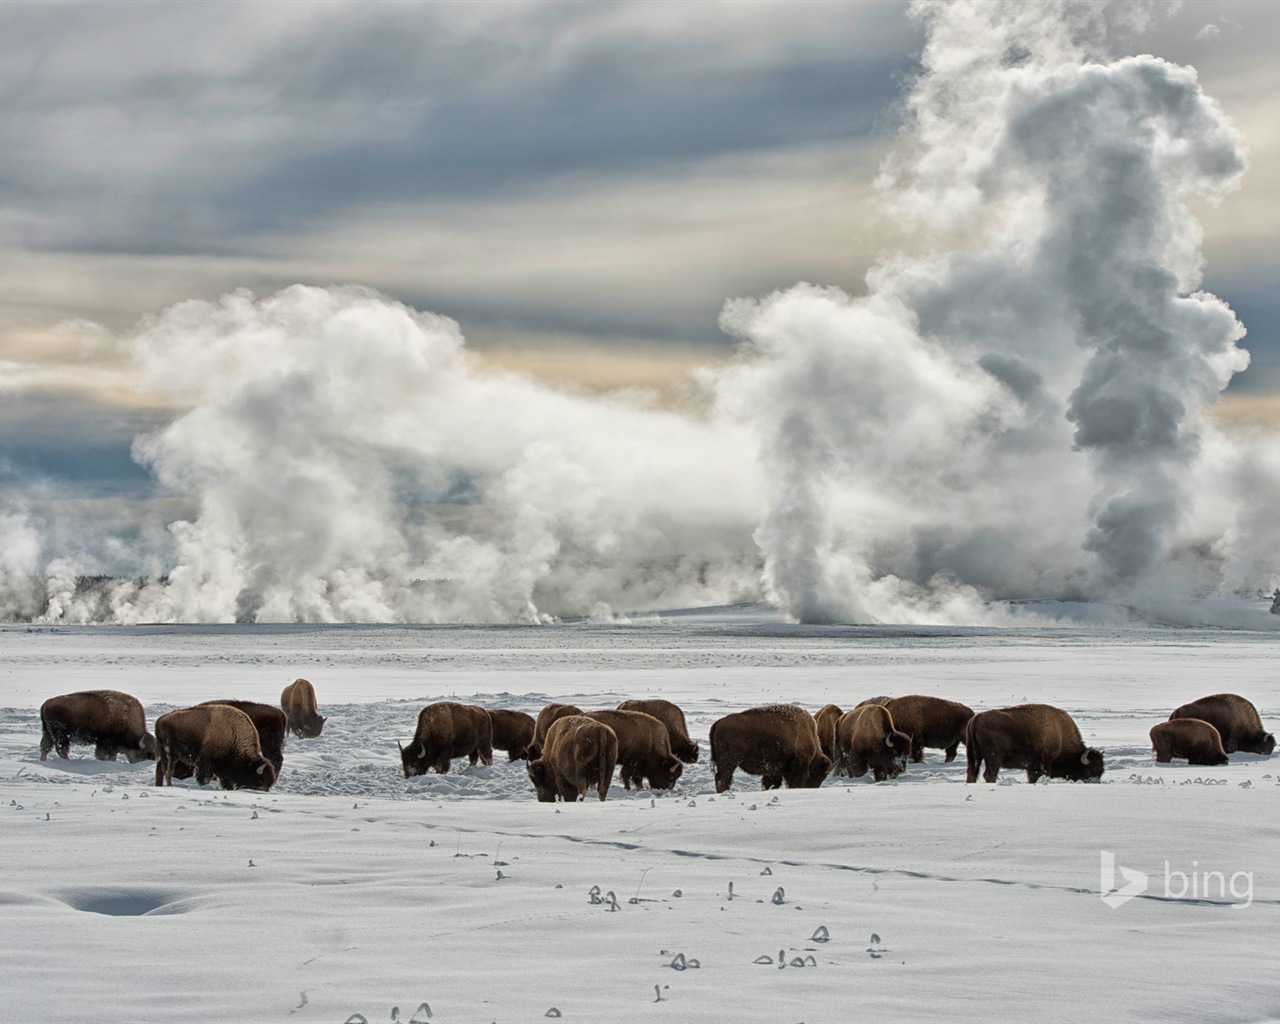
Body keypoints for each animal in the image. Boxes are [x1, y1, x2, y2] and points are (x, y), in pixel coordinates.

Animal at [962, 706, 1105, 783]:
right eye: (1087, 770)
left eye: (1101, 771)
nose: (1095, 782)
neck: (1060, 733)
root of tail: (976, 718)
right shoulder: (1042, 765)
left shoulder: (1031, 767)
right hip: (993, 757)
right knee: (989, 774)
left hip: (973, 755)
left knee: (972, 773)